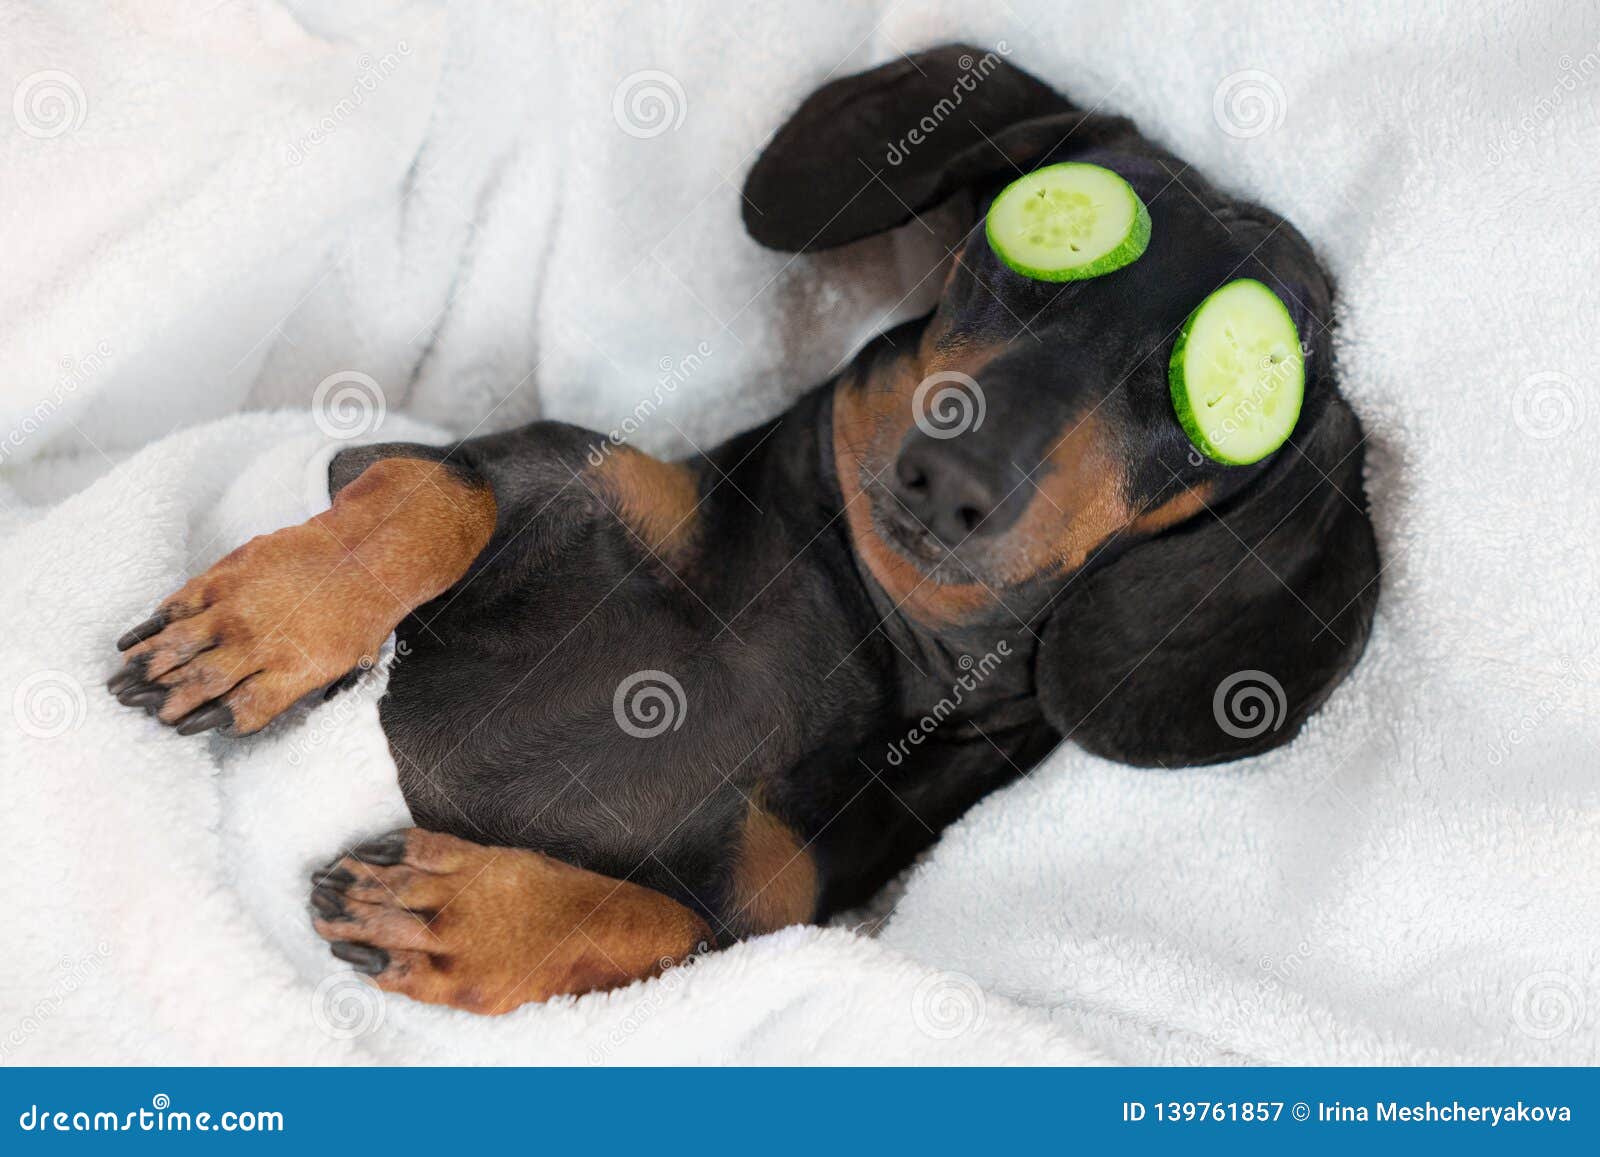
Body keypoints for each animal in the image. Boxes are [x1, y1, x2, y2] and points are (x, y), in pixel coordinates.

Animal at [103, 47, 1376, 1011]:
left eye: (1219, 396)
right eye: (1030, 246)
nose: (948, 476)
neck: (862, 629)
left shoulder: (771, 919)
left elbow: (657, 921)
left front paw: (466, 917)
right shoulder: (497, 464)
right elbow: (436, 497)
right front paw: (265, 623)